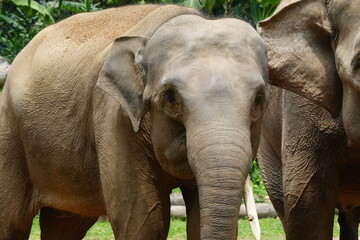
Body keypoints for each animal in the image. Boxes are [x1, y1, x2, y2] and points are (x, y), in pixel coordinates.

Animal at [0, 3, 268, 240]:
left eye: (259, 99)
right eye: (171, 98)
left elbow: (198, 218)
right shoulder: (115, 118)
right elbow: (144, 222)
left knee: (66, 223)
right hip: (9, 133)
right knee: (12, 223)